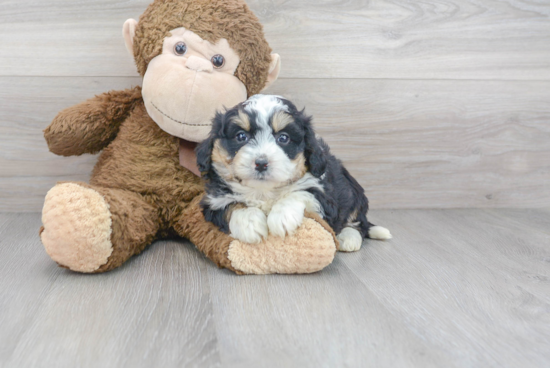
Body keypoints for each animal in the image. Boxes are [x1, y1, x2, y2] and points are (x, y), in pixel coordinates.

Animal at [195, 93, 392, 252]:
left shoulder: (326, 197)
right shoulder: (214, 202)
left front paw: (282, 216)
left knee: (358, 223)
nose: (261, 163)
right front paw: (250, 223)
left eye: (283, 138)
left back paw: (348, 238)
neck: (263, 191)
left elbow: (300, 192)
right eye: (241, 136)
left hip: (354, 193)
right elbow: (233, 205)